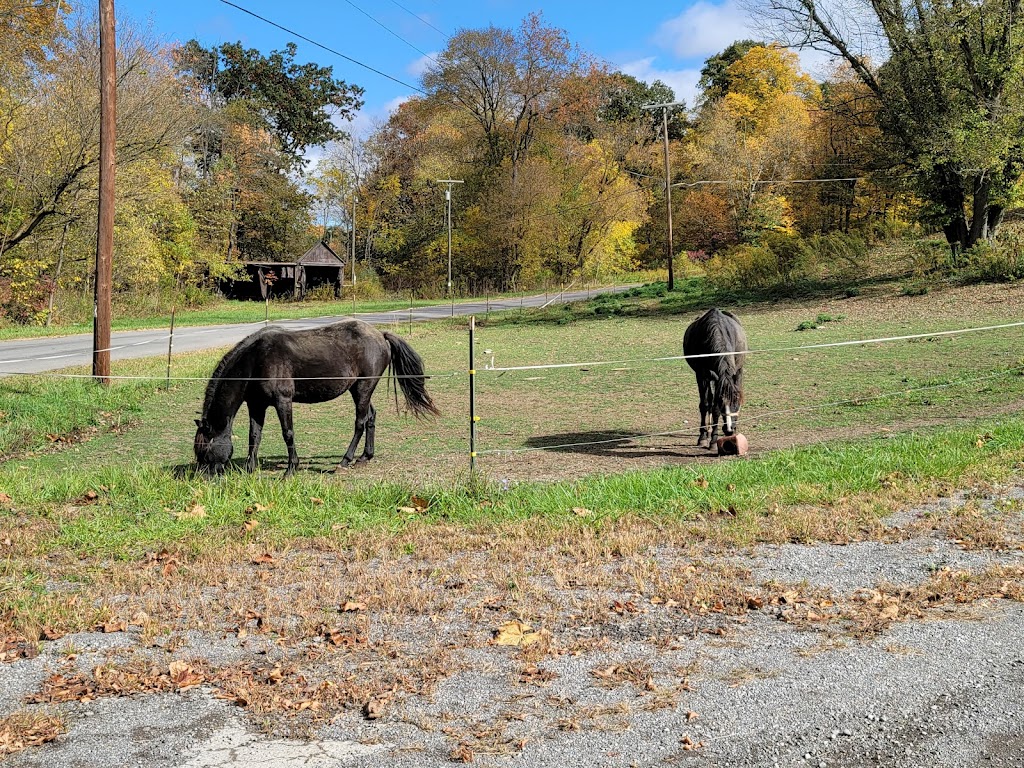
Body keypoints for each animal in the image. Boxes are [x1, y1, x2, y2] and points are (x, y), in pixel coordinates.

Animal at [193, 317, 438, 475]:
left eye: (204, 451)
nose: (203, 477)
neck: (256, 360)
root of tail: (380, 334)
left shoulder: (283, 401)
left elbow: (288, 433)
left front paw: (291, 469)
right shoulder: (257, 405)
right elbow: (254, 436)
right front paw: (249, 469)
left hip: (363, 388)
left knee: (360, 422)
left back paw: (345, 460)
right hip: (357, 390)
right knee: (371, 417)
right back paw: (364, 457)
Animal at [684, 309, 749, 448]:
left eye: (736, 402)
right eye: (721, 402)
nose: (729, 430)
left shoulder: (737, 373)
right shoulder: (702, 375)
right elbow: (707, 405)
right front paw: (706, 438)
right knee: (708, 401)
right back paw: (707, 432)